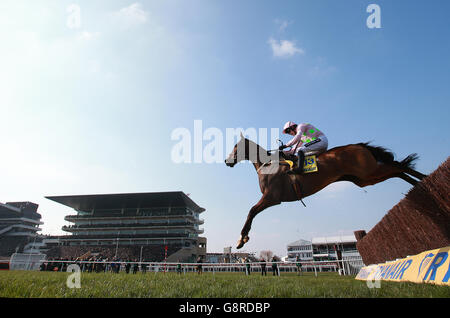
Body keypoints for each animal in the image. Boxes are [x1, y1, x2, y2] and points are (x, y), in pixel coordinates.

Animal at [225, 133, 426, 250]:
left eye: (236, 147)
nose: (227, 161)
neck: (268, 166)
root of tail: (359, 145)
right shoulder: (270, 198)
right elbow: (252, 212)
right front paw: (243, 238)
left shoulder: (272, 197)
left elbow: (251, 211)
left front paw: (242, 239)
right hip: (365, 179)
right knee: (396, 170)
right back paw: (420, 182)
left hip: (369, 172)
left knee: (397, 166)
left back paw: (423, 178)